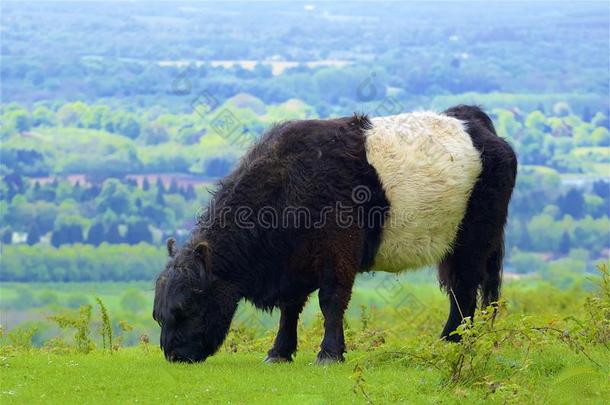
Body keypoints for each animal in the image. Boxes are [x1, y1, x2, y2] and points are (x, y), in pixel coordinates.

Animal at [154, 104, 516, 362]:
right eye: (158, 316)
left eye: (186, 308)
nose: (173, 355)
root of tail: (471, 120)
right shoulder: (293, 265)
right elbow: (290, 308)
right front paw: (279, 352)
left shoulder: (338, 253)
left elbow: (331, 301)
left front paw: (329, 354)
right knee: (457, 289)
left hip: (474, 241)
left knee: (465, 289)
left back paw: (453, 342)